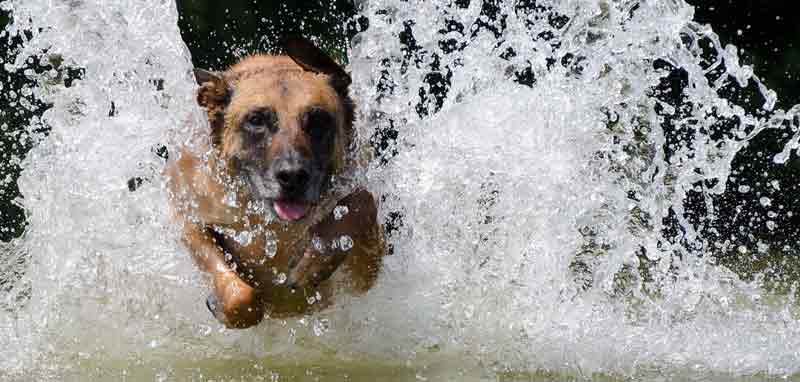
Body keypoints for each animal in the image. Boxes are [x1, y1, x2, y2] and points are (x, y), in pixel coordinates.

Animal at [165, 36, 384, 328]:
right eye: (256, 120)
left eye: (318, 120)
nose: (292, 175)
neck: (275, 228)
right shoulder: (187, 217)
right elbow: (240, 296)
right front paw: (224, 305)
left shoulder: (363, 277)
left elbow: (362, 201)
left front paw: (317, 259)